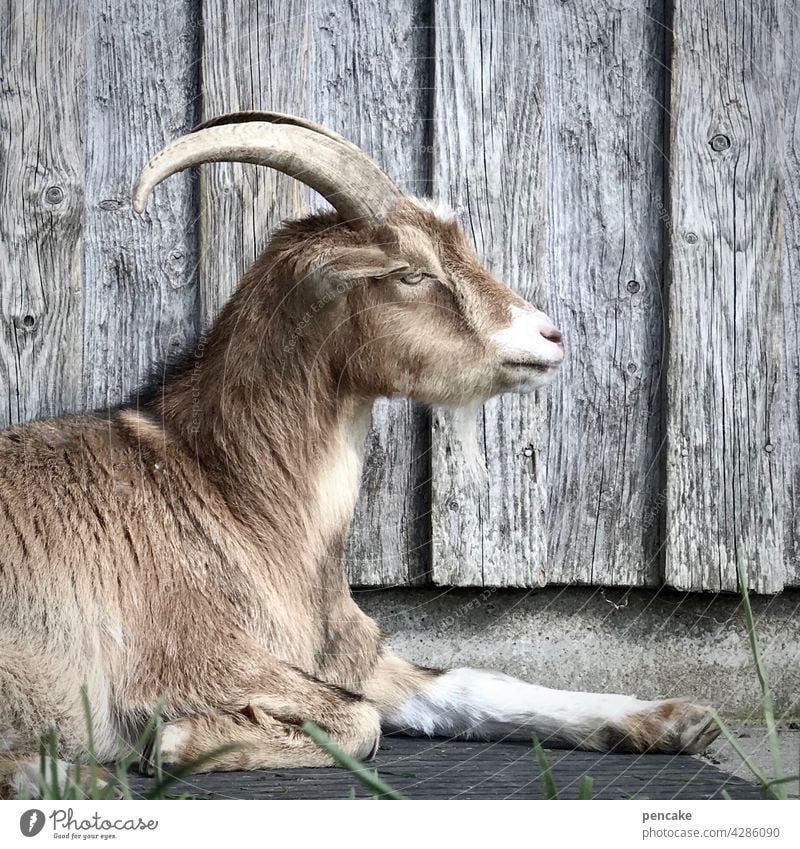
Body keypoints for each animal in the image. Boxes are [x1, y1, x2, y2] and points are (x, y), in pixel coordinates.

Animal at [0, 111, 716, 796]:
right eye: (412, 273)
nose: (548, 336)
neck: (235, 504)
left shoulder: (357, 657)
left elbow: (472, 682)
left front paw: (674, 720)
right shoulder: (194, 657)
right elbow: (358, 722)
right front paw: (177, 741)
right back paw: (74, 776)